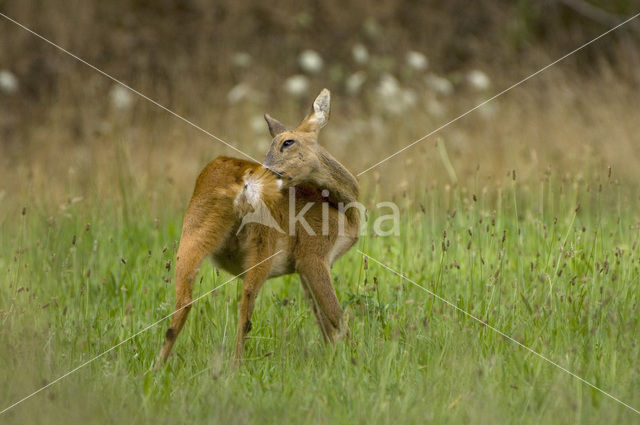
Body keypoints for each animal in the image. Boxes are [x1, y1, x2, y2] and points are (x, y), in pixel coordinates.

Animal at [158, 89, 360, 364]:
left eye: (287, 142)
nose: (269, 170)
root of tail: (243, 184)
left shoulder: (303, 268)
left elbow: (322, 318)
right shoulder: (312, 254)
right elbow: (335, 316)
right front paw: (353, 358)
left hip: (192, 233)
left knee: (183, 304)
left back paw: (158, 366)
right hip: (265, 242)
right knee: (245, 306)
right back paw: (236, 365)